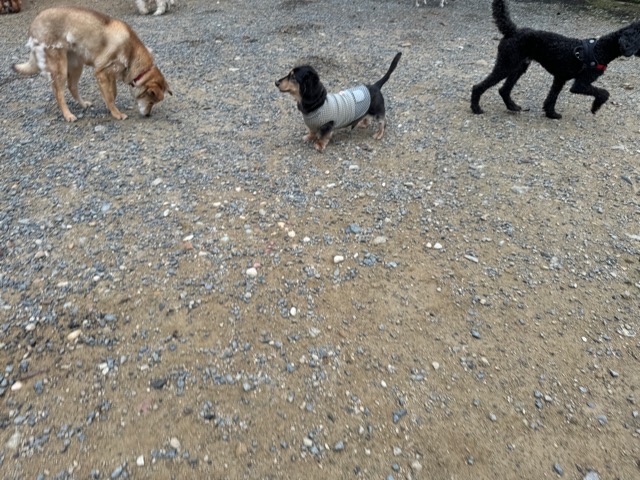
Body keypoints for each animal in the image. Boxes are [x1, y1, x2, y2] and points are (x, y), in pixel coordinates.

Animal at [13, 7, 172, 122]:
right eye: (151, 102)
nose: (148, 115)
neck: (132, 54)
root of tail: (34, 23)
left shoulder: (111, 74)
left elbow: (112, 93)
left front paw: (111, 107)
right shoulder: (101, 73)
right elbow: (110, 96)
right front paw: (116, 113)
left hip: (76, 66)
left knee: (72, 87)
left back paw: (83, 104)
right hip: (61, 69)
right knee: (58, 93)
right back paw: (68, 115)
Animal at [471, 0, 640, 119]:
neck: (600, 49)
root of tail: (513, 30)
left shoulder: (560, 78)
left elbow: (552, 97)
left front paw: (551, 114)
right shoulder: (581, 84)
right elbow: (604, 92)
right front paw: (595, 106)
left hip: (518, 67)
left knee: (504, 89)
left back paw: (512, 107)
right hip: (506, 65)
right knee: (478, 86)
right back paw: (475, 108)